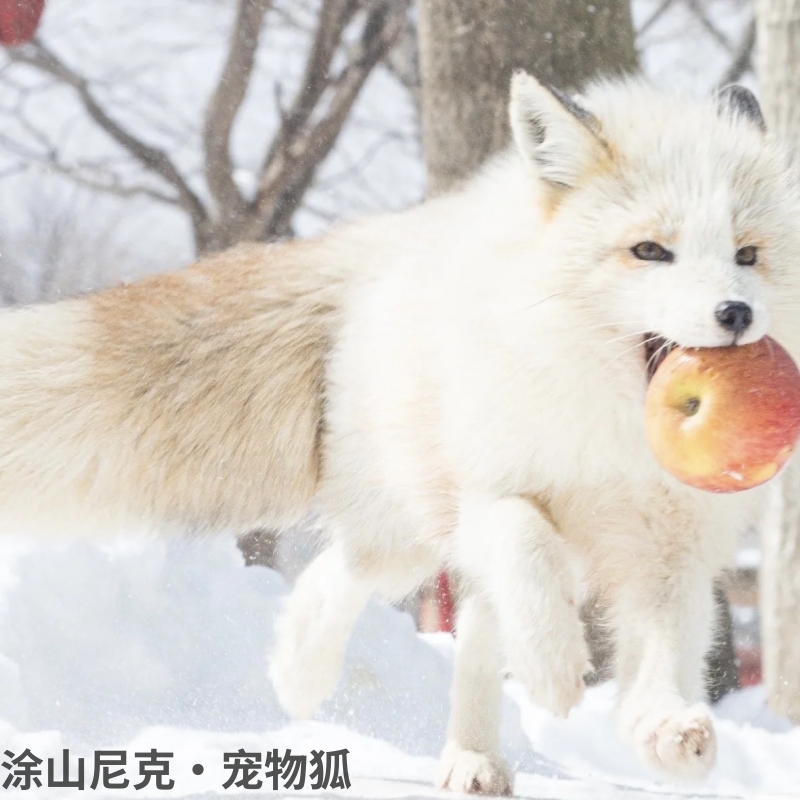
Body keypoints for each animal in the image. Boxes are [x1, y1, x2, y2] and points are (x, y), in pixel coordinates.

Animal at [1, 73, 800, 792]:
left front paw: (661, 728)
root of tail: (408, 231)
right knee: (346, 570)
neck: (612, 443)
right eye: (650, 252)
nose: (735, 314)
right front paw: (553, 668)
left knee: (466, 634)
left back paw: (471, 757)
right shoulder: (491, 494)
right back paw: (302, 674)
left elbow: (665, 659)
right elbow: (526, 544)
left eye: (747, 255)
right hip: (408, 527)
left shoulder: (671, 555)